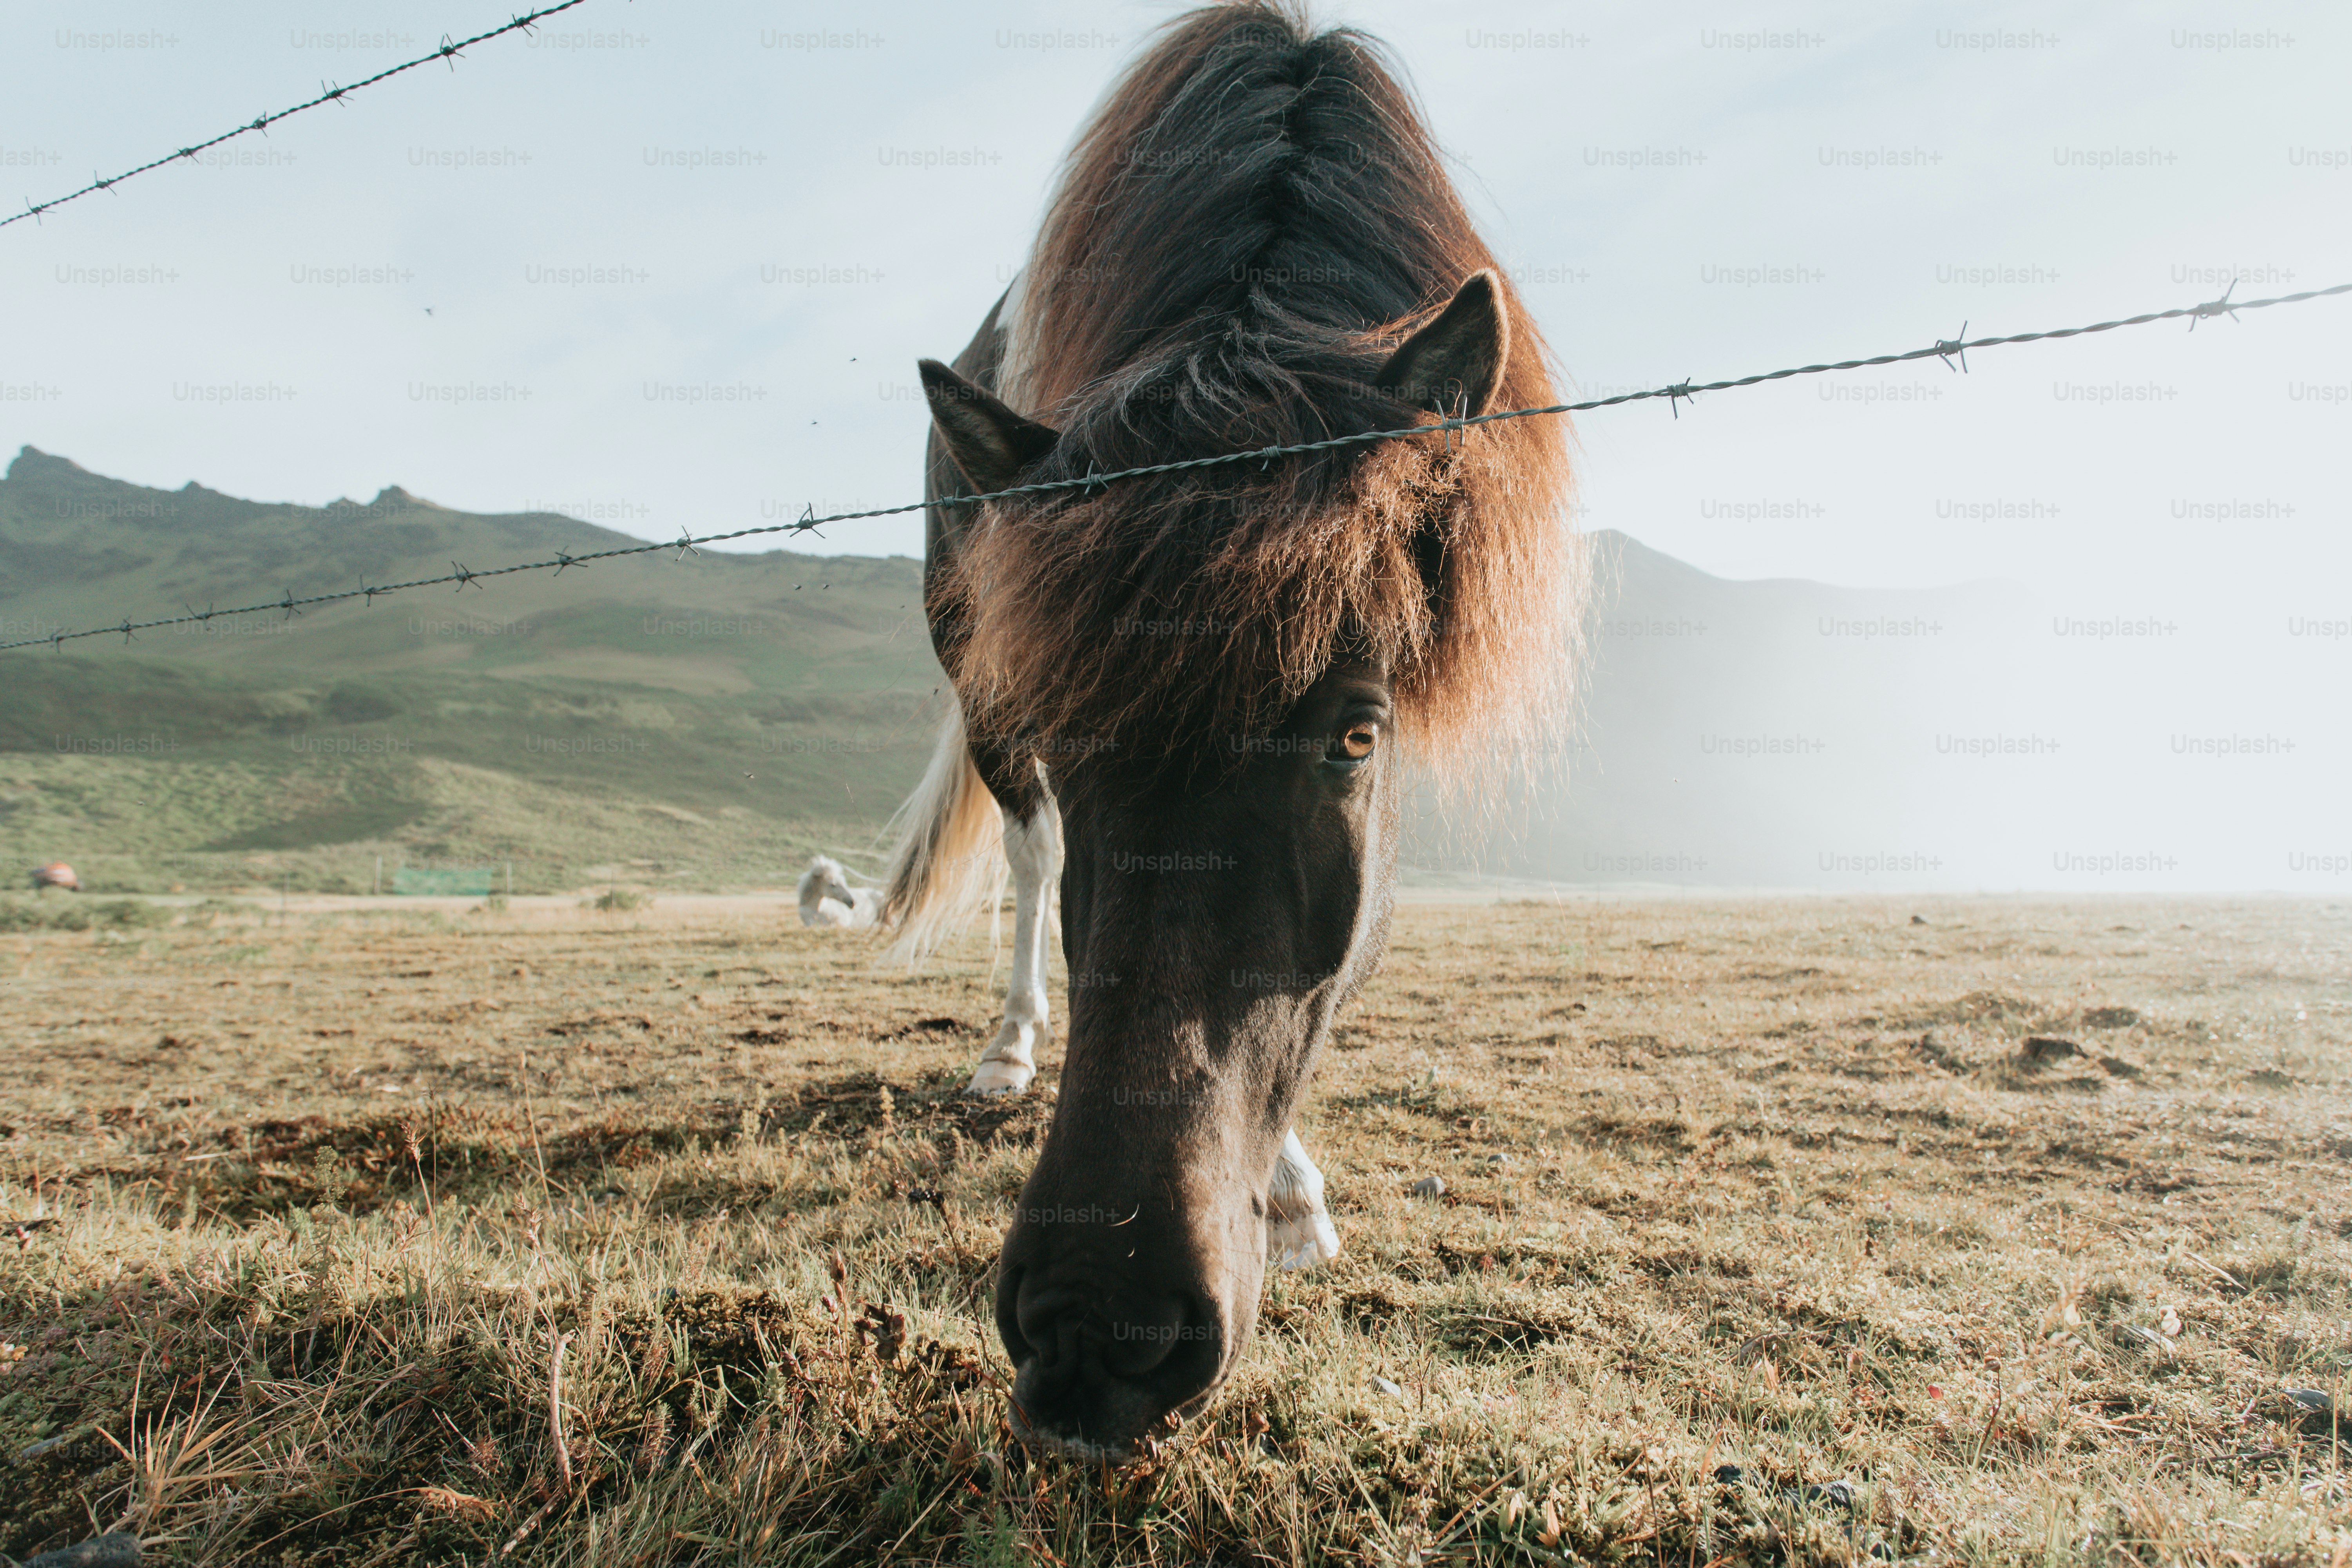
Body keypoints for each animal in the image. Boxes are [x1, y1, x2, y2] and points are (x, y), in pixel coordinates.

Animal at [884, 0, 1581, 1467]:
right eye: (1075, 737)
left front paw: (1299, 1198)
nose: (1097, 1335)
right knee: (1030, 860)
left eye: (1355, 736)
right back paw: (1009, 1049)